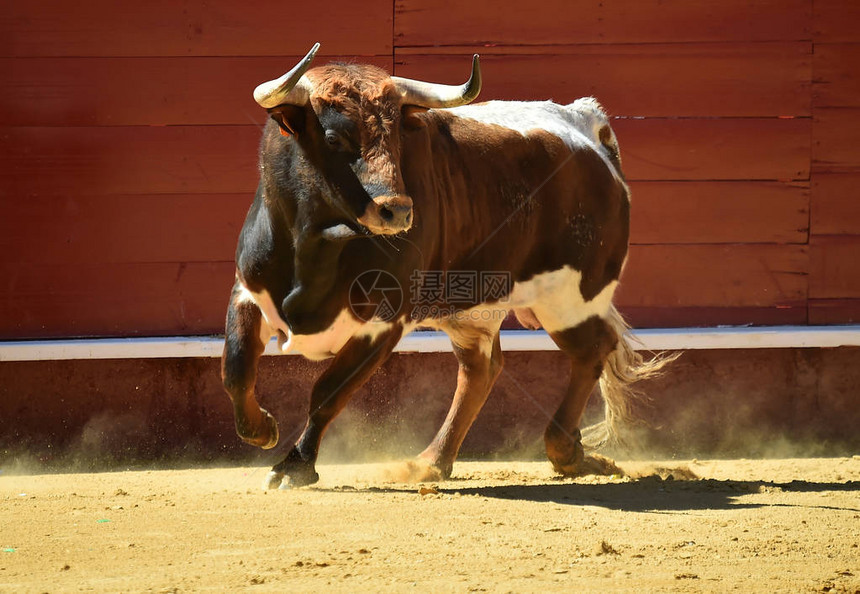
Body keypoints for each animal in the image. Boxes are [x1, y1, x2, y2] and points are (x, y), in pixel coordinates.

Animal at [220, 42, 660, 486]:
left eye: (397, 135)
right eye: (331, 136)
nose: (396, 210)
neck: (315, 250)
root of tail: (586, 122)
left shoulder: (384, 322)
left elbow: (328, 391)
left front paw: (294, 465)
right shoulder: (248, 292)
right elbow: (236, 370)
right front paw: (262, 430)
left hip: (570, 298)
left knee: (591, 350)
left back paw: (564, 451)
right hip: (478, 309)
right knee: (481, 369)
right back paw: (431, 461)